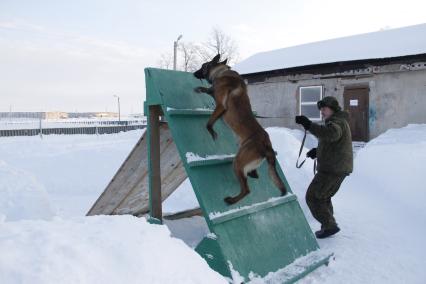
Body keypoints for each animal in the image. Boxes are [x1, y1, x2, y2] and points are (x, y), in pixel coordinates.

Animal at [194, 53, 288, 204]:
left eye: (203, 66)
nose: (193, 73)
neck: (221, 72)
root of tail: (266, 144)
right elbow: (209, 91)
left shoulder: (221, 105)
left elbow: (209, 122)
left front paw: (212, 132)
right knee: (253, 175)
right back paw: (251, 175)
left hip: (238, 162)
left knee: (246, 189)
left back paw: (231, 200)